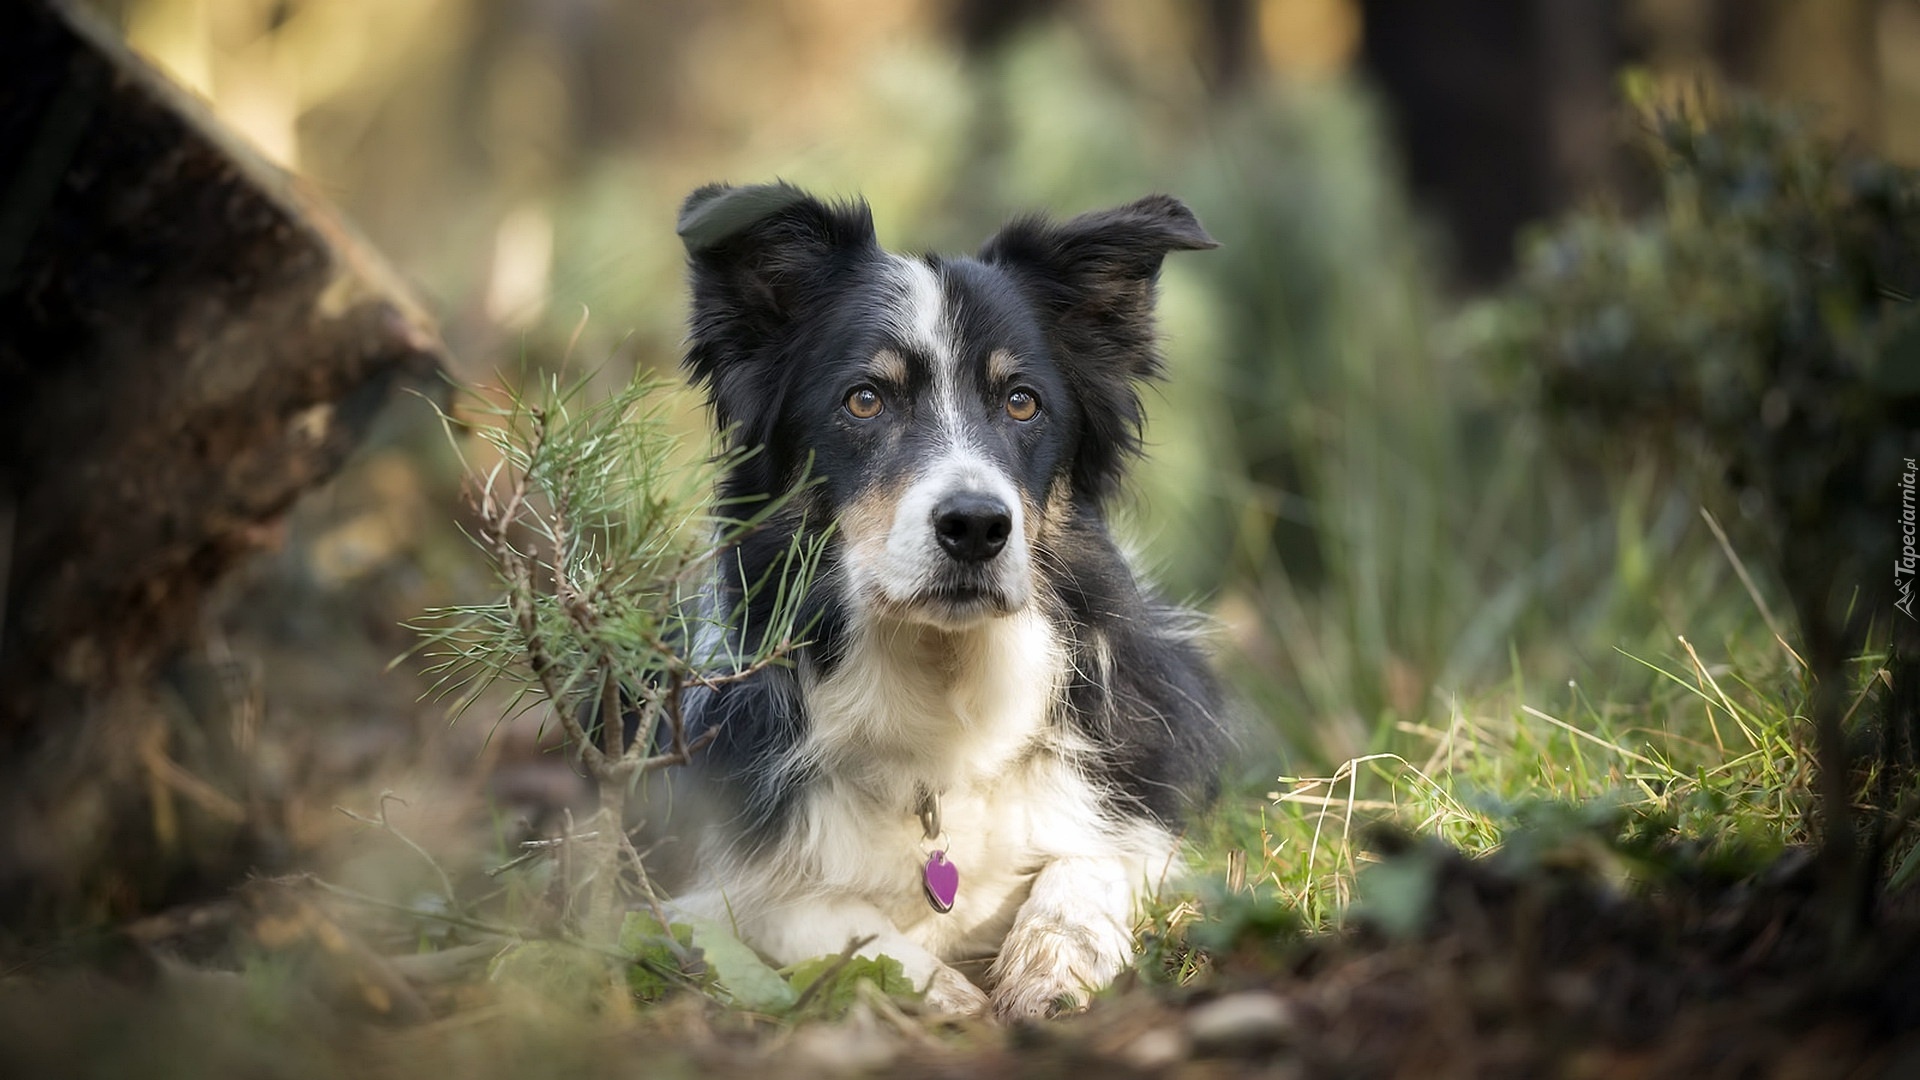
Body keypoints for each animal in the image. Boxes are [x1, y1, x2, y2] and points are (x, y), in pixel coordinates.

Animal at [668, 180, 1221, 1014]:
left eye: (1022, 402)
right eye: (865, 400)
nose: (976, 527)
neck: (943, 676)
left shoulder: (1130, 801)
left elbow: (1093, 861)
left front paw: (1054, 963)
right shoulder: (695, 881)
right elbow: (794, 910)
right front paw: (937, 991)